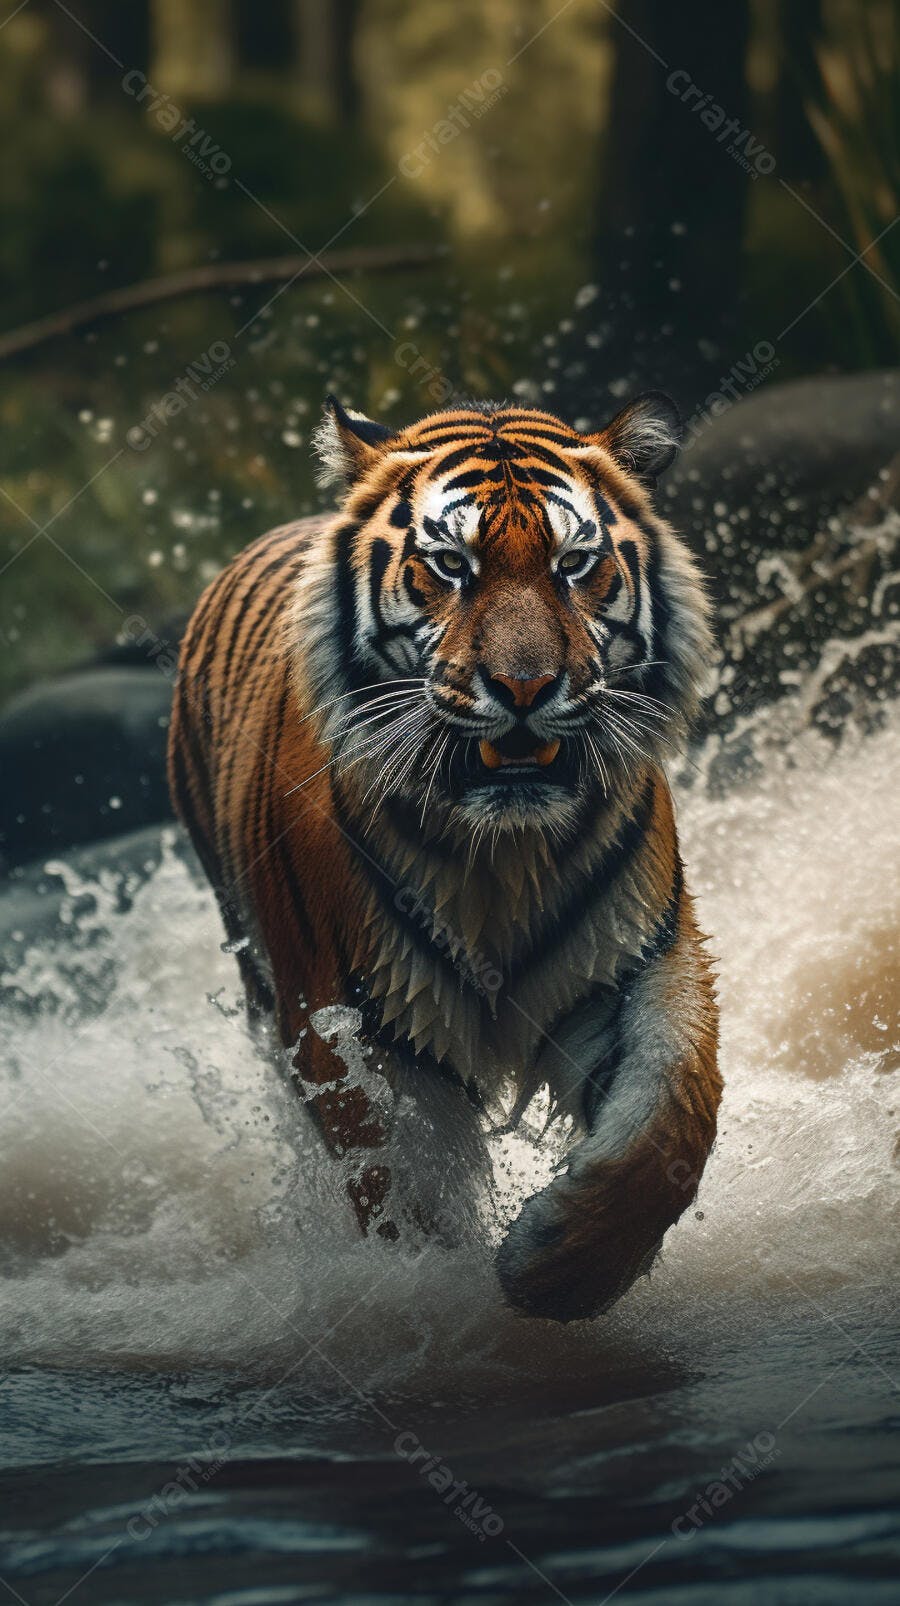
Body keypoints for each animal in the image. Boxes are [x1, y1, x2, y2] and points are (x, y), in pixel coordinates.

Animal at [168, 392, 722, 1322]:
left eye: (575, 565)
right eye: (451, 566)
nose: (526, 687)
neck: (501, 854)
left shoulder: (631, 960)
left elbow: (673, 1114)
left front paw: (557, 1268)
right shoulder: (352, 1026)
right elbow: (403, 1189)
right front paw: (440, 1292)